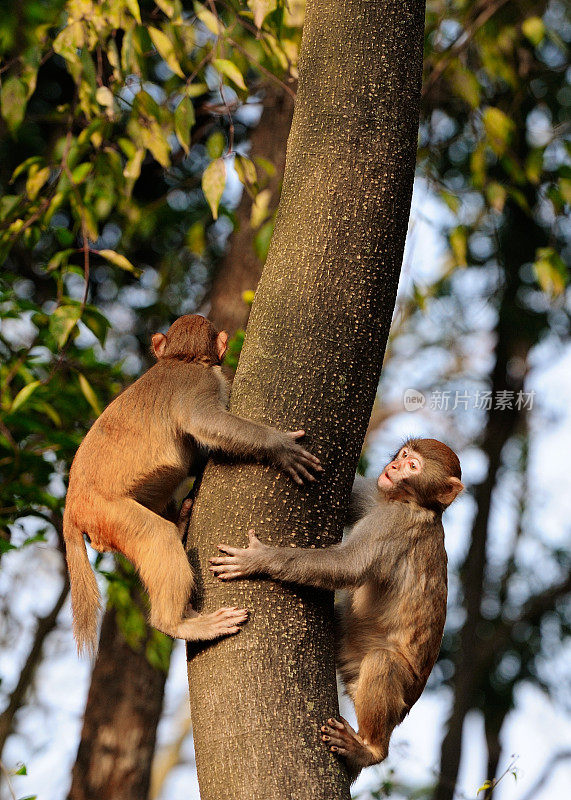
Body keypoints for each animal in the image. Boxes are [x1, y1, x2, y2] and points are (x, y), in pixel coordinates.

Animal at [63, 314, 322, 656]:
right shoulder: (204, 381)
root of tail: (72, 507)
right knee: (157, 535)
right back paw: (176, 623)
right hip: (108, 512)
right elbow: (205, 422)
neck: (181, 358)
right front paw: (279, 447)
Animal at [210, 440, 464, 780]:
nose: (395, 467)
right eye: (404, 455)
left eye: (414, 467)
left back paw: (370, 750)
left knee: (382, 661)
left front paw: (259, 560)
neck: (414, 503)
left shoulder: (392, 522)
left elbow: (347, 567)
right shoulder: (377, 498)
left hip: (403, 689)